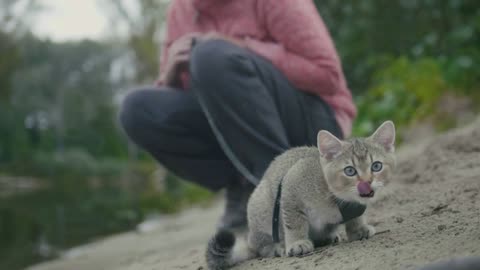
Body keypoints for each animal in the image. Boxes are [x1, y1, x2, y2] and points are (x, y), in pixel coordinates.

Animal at [204, 121, 396, 268]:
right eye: (350, 171)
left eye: (376, 166)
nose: (367, 182)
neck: (337, 198)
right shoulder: (290, 188)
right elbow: (294, 223)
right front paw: (297, 242)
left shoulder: (355, 207)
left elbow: (355, 217)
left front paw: (358, 229)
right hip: (261, 209)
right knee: (259, 247)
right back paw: (277, 247)